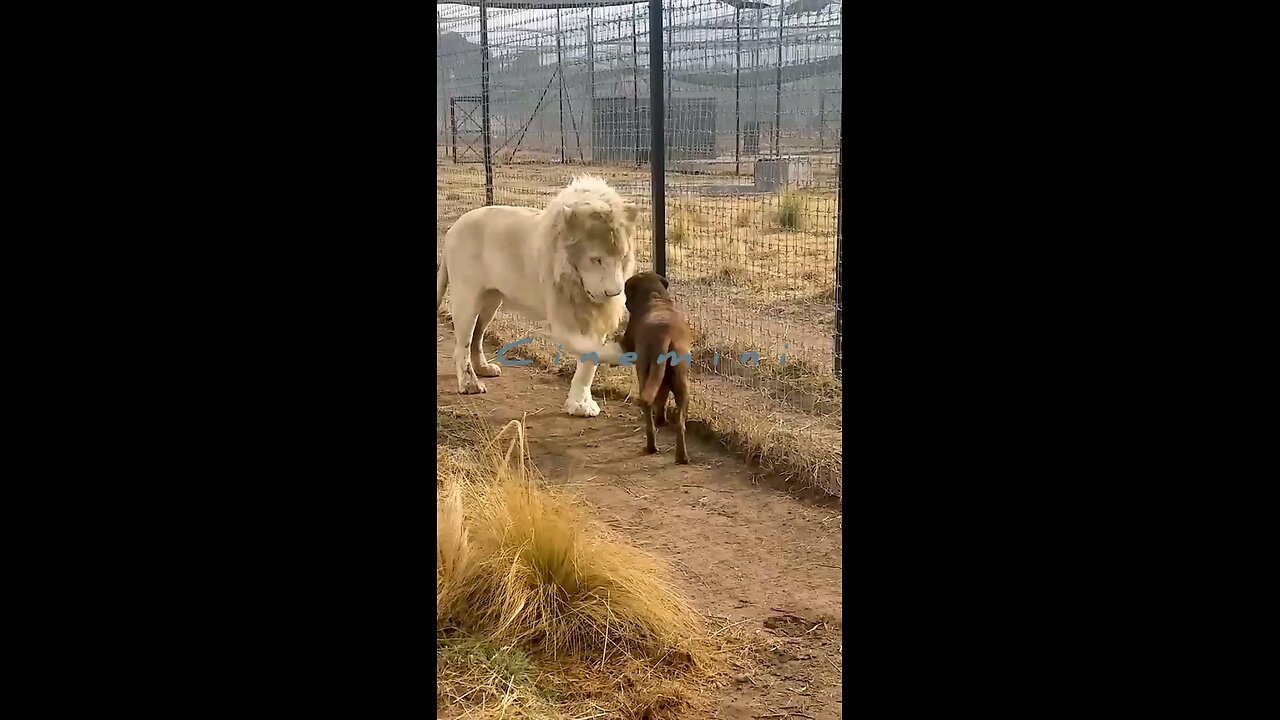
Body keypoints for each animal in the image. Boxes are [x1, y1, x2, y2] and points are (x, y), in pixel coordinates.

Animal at [435, 174, 640, 417]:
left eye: (623, 256)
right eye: (596, 259)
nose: (614, 292)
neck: (576, 282)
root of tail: (453, 228)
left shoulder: (594, 314)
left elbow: (589, 362)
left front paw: (581, 404)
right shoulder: (562, 314)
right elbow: (589, 349)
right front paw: (618, 353)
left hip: (491, 301)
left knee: (477, 335)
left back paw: (483, 368)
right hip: (467, 298)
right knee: (462, 345)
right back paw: (470, 383)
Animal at [619, 271, 691, 461]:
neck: (655, 297)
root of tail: (664, 335)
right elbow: (662, 399)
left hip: (644, 375)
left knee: (648, 410)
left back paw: (651, 446)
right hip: (681, 384)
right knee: (680, 424)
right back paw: (681, 456)